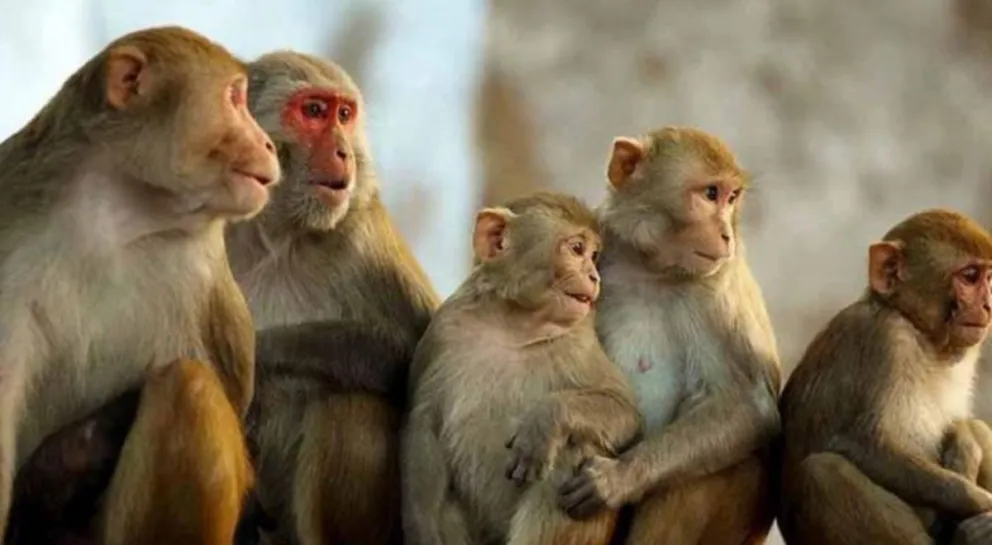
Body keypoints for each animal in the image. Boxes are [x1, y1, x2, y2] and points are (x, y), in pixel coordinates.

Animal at [402, 192, 643, 545]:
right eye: (577, 249)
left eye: (594, 255)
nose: (594, 277)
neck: (514, 326)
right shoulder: (444, 329)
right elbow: (422, 424)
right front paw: (421, 532)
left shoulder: (579, 342)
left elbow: (625, 412)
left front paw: (545, 421)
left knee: (573, 447)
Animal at [554, 126, 781, 545]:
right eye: (711, 193)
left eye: (732, 197)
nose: (726, 234)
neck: (651, 269)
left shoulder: (717, 291)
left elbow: (750, 404)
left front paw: (615, 480)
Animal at [776, 208, 992, 545]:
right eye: (970, 276)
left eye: (989, 277)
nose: (987, 305)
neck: (919, 333)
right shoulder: (886, 340)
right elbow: (867, 446)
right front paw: (982, 505)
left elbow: (964, 426)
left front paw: (965, 446)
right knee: (823, 472)